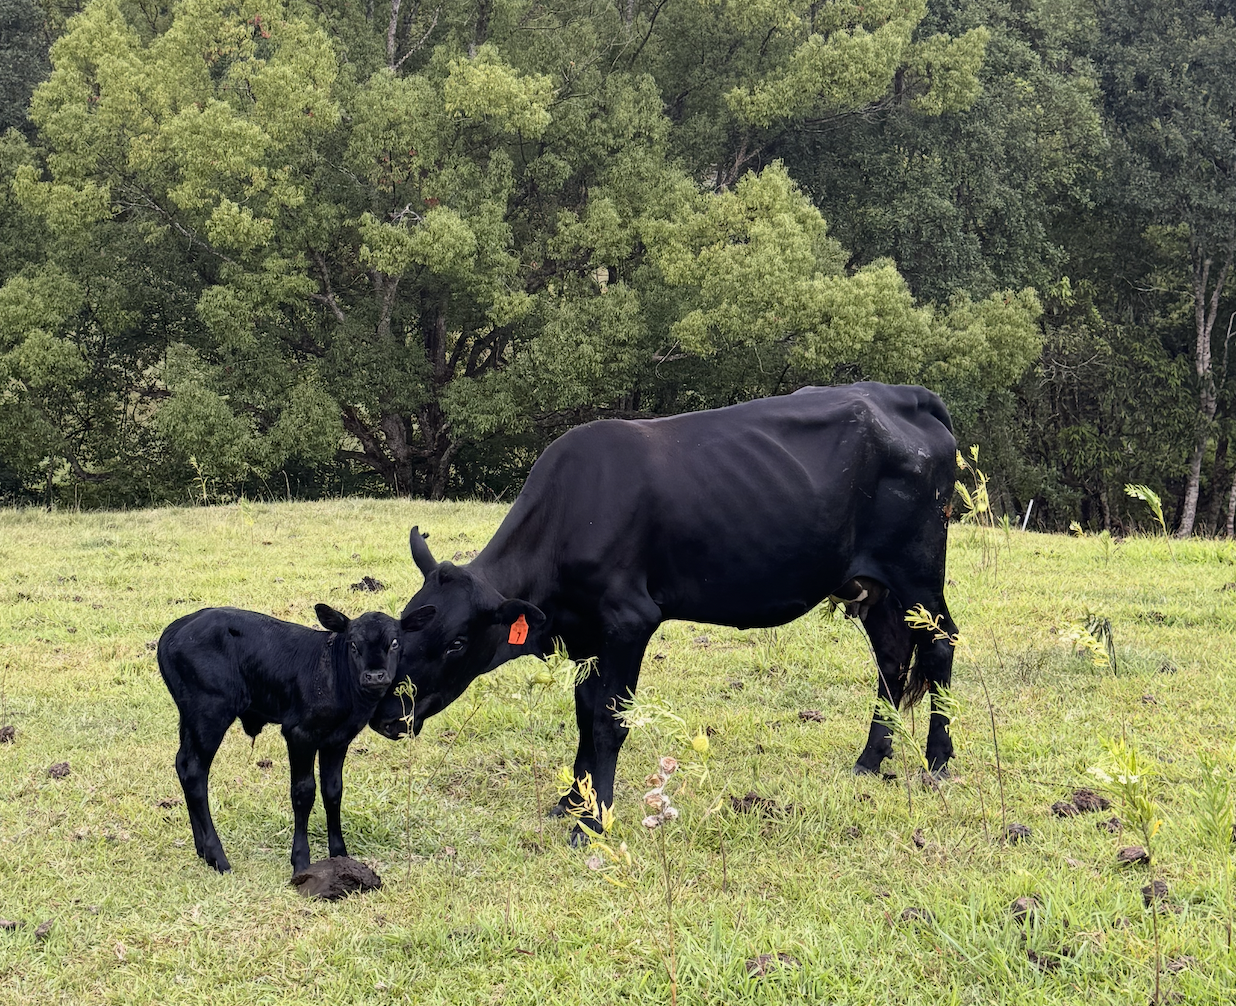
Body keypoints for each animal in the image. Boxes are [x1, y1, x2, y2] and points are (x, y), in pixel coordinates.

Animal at [158, 603, 432, 873]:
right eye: (353, 645)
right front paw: (301, 861)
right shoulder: (300, 733)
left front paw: (340, 855)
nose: (375, 675)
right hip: (210, 713)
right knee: (195, 772)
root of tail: (178, 628)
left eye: (394, 643)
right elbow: (303, 792)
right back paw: (218, 857)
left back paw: (203, 851)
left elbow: (333, 791)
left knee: (184, 766)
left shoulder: (338, 740)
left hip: (191, 717)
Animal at [372, 383, 959, 837]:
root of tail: (902, 394)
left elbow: (608, 722)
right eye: (403, 629)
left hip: (918, 573)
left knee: (940, 644)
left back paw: (938, 762)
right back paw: (870, 760)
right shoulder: (588, 636)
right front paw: (572, 801)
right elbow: (584, 713)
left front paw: (592, 823)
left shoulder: (629, 621)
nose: (384, 716)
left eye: (456, 642)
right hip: (871, 587)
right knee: (891, 656)